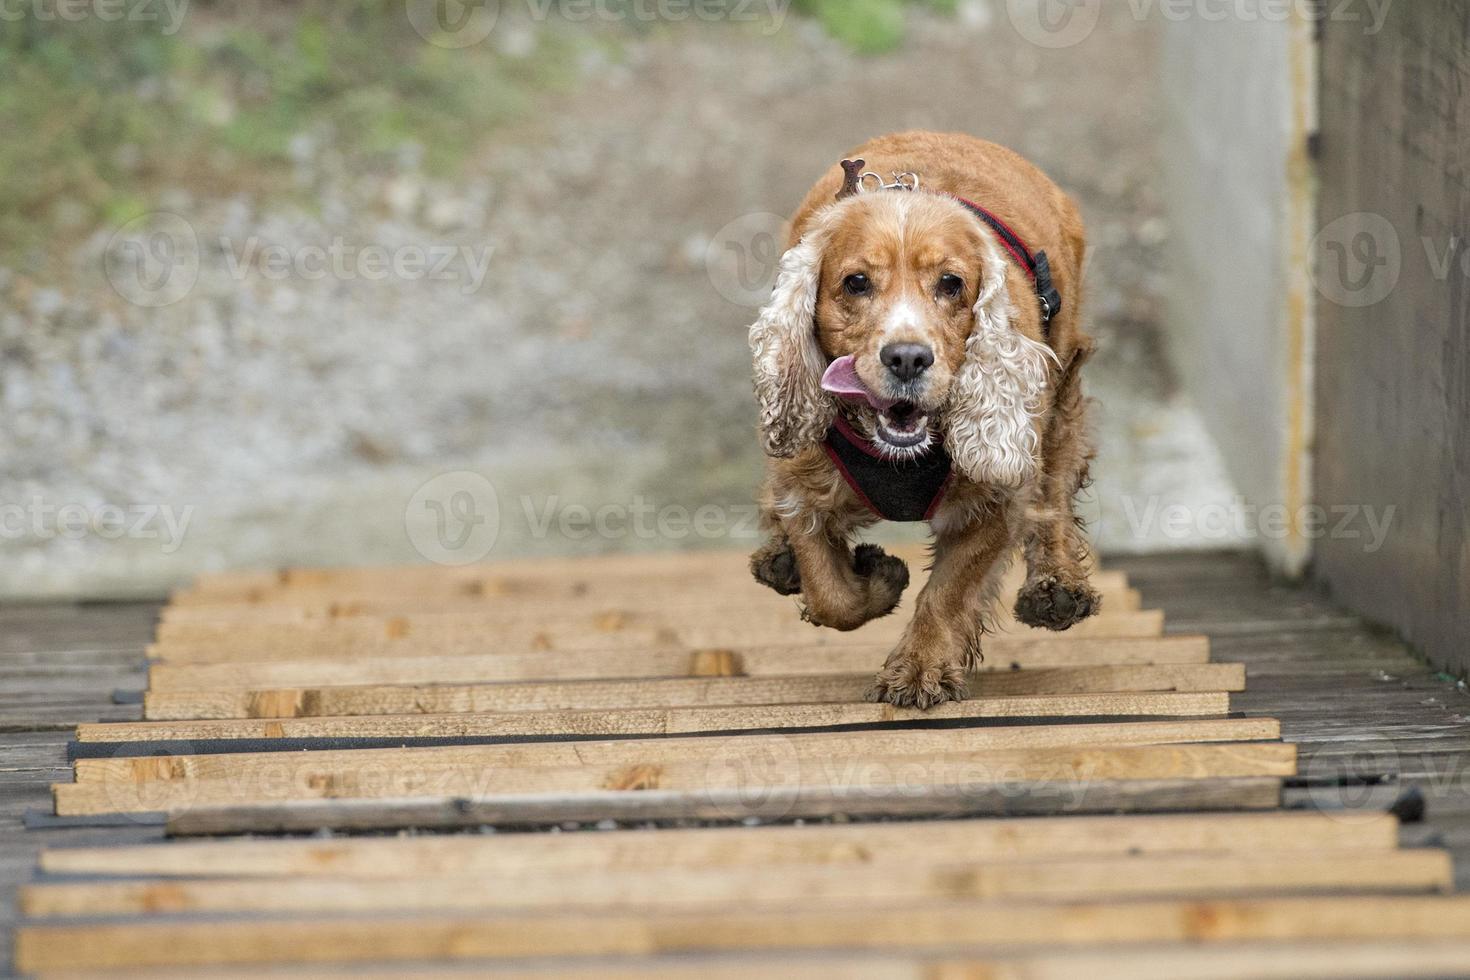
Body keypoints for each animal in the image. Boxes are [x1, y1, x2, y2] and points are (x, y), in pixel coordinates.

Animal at [752, 132, 1099, 714]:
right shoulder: (804, 485)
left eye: (952, 284)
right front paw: (879, 577)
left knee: (1055, 485)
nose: (908, 358)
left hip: (1061, 385)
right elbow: (830, 596)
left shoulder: (994, 498)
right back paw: (778, 558)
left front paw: (919, 670)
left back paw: (1057, 589)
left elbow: (949, 592)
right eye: (857, 282)